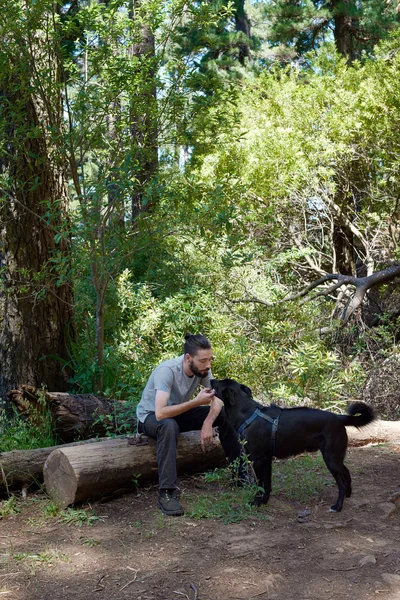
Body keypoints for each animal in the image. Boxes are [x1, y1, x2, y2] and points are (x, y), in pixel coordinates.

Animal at [211, 380, 376, 510]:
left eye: (218, 383)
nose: (211, 379)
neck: (247, 413)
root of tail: (339, 417)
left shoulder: (258, 460)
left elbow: (259, 484)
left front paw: (256, 502)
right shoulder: (267, 460)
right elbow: (267, 485)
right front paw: (265, 501)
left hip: (331, 459)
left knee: (341, 482)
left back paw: (338, 506)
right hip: (336, 457)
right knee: (346, 471)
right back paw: (348, 494)